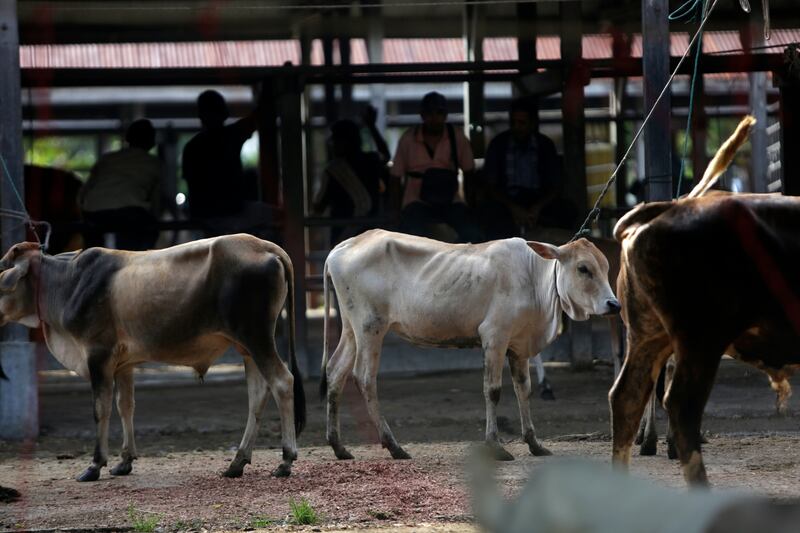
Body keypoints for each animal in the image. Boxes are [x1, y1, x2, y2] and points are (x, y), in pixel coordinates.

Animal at [0, 235, 304, 480]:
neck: (67, 283)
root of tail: (266, 246)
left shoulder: (98, 355)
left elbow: (101, 409)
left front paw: (95, 465)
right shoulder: (123, 364)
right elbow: (125, 406)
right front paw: (124, 461)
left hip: (257, 338)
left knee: (282, 382)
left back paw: (285, 460)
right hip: (247, 348)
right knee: (257, 396)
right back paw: (237, 463)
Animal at [318, 230, 620, 462]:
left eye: (606, 267)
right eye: (583, 268)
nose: (614, 304)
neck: (534, 278)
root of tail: (341, 248)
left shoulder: (518, 346)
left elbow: (524, 390)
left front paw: (535, 444)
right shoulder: (494, 337)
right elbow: (493, 391)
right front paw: (496, 447)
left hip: (352, 330)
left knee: (335, 371)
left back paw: (339, 446)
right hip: (370, 328)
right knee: (364, 378)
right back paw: (394, 446)